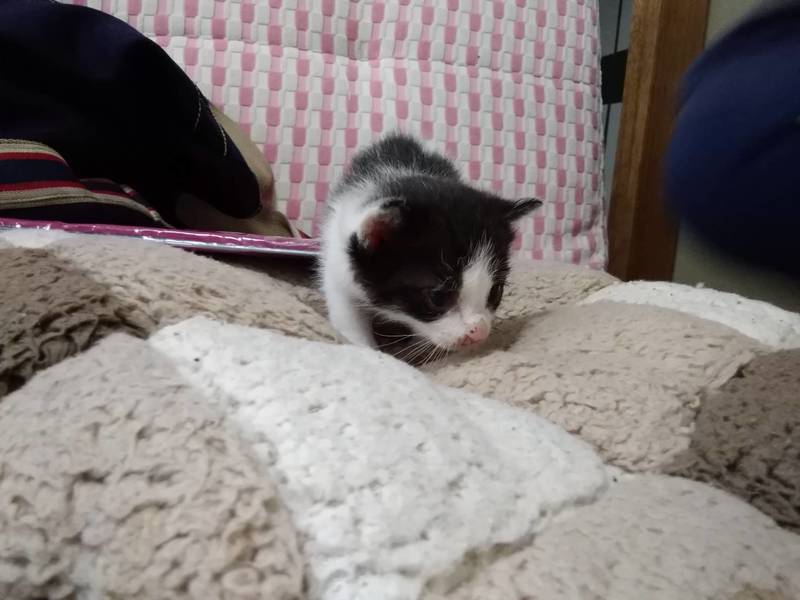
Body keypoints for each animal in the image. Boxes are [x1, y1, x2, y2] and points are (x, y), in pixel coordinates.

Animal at [319, 133, 541, 363]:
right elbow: (347, 316)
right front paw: (367, 352)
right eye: (437, 297)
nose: (478, 332)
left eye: (496, 291)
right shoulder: (337, 263)